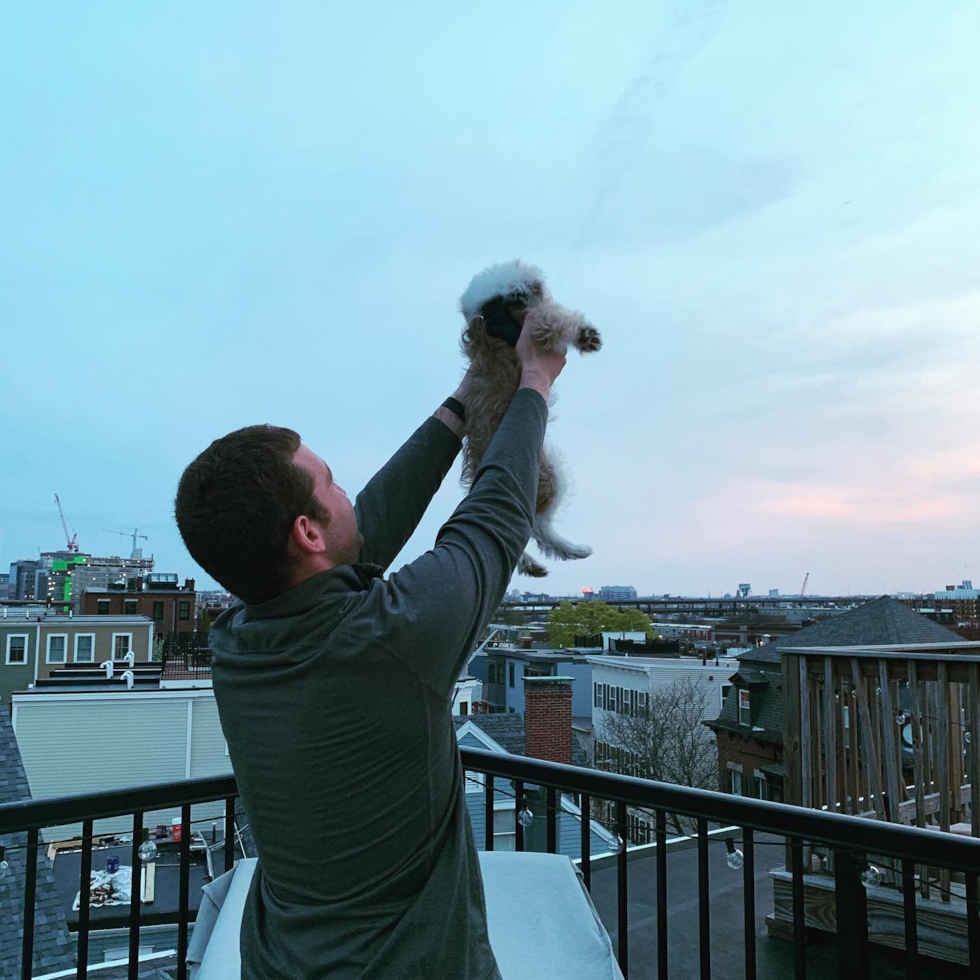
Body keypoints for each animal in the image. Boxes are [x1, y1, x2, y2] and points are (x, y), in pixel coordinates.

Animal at [458, 262, 600, 580]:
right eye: (517, 295)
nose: (534, 288)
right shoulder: (538, 327)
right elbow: (556, 318)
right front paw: (586, 335)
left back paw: (545, 562)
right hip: (547, 476)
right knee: (534, 528)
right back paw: (568, 551)